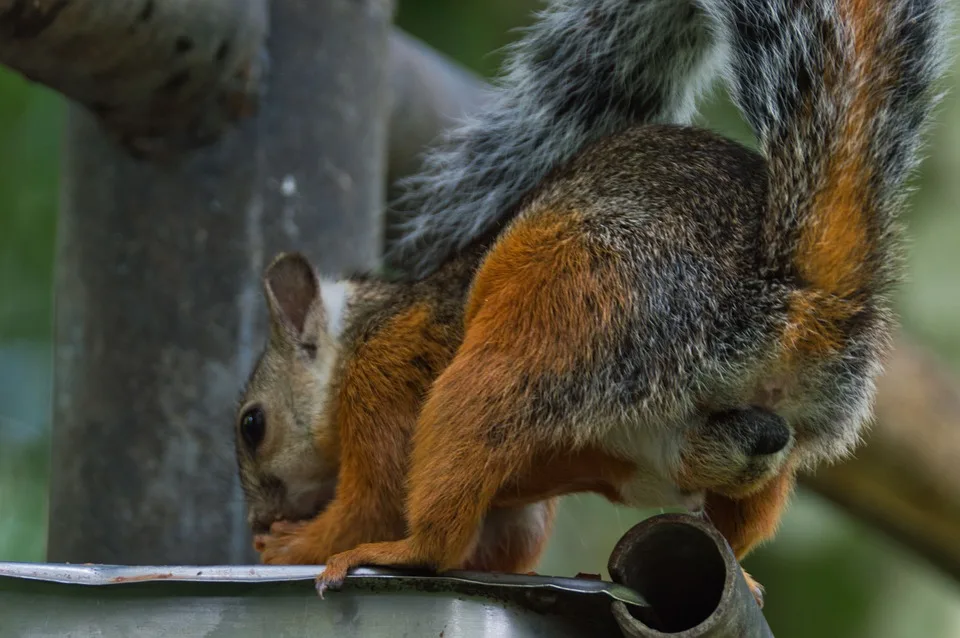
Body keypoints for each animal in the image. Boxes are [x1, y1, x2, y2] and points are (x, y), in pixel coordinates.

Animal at [238, 0, 944, 604]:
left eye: (252, 425)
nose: (258, 517)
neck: (364, 327)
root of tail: (795, 293)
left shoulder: (385, 374)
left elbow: (376, 500)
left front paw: (292, 547)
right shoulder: (515, 509)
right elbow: (506, 541)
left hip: (573, 314)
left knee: (456, 469)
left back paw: (403, 550)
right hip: (760, 441)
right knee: (738, 520)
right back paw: (737, 573)